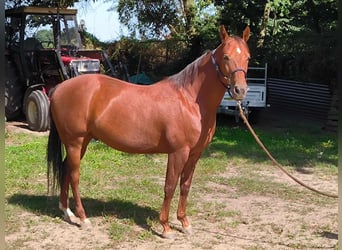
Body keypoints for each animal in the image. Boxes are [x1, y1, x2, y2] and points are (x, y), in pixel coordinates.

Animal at [46, 25, 250, 238]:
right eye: (226, 56)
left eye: (248, 57)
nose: (240, 90)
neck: (189, 100)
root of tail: (59, 88)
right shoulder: (178, 152)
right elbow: (170, 186)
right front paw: (166, 227)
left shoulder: (195, 154)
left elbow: (185, 186)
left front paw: (184, 223)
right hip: (75, 142)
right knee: (74, 176)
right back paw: (83, 218)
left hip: (82, 142)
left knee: (65, 169)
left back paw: (67, 212)